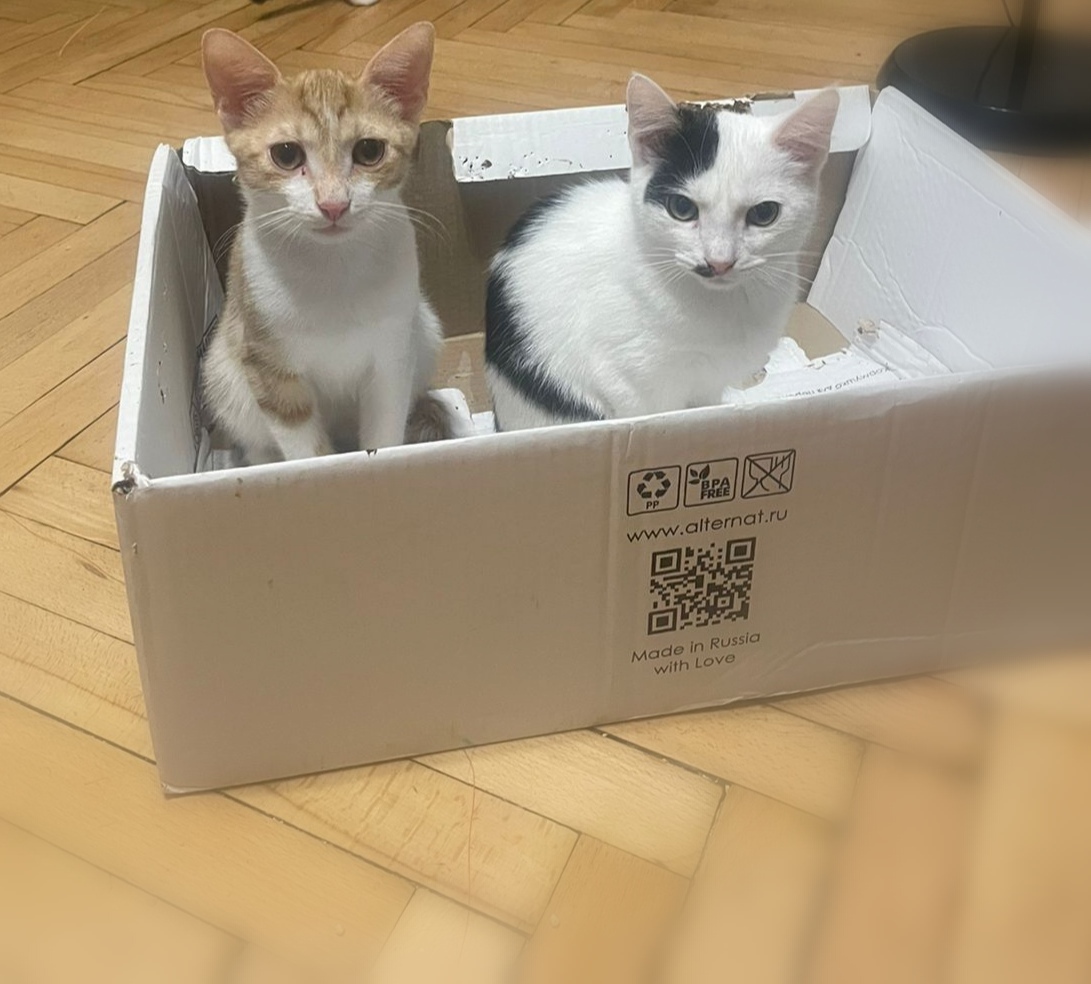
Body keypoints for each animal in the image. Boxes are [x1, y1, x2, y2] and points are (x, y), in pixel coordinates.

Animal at [200, 23, 447, 466]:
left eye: (369, 150)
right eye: (285, 154)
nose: (334, 204)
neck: (333, 269)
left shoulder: (393, 357)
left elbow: (385, 429)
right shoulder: (267, 364)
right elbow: (305, 448)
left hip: (425, 332)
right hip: (225, 373)